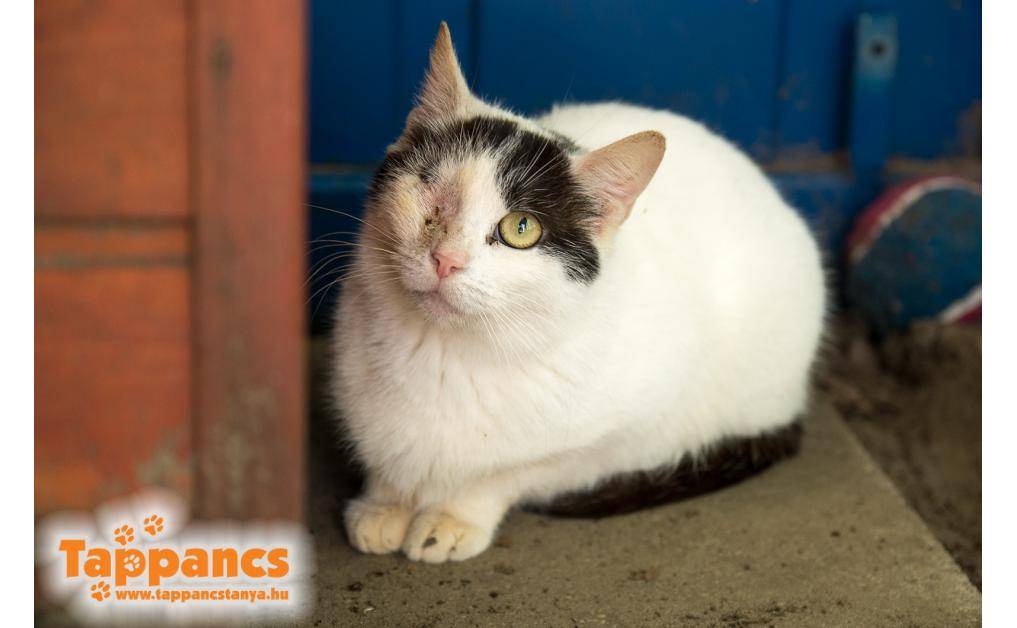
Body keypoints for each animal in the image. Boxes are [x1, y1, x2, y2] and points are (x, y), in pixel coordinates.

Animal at [331, 23, 826, 563]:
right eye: (429, 189)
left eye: (521, 229)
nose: (446, 259)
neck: (447, 352)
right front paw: (385, 505)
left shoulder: (617, 435)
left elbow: (507, 473)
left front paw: (452, 517)